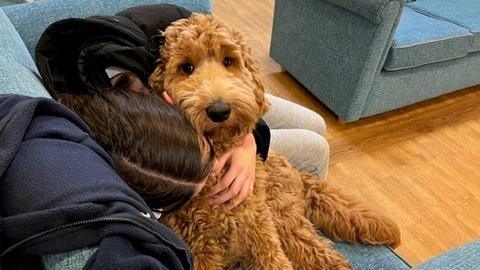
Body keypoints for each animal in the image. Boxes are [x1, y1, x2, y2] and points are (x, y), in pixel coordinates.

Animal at [148, 14, 400, 270]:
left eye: (228, 61)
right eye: (186, 68)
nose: (219, 110)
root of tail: (297, 171)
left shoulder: (261, 234)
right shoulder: (202, 252)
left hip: (284, 219)